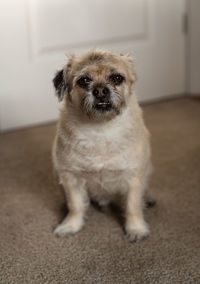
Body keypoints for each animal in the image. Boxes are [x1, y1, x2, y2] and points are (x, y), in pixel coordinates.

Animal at [52, 48, 153, 242]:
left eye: (117, 78)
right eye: (84, 80)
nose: (100, 91)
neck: (100, 129)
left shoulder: (133, 178)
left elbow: (132, 206)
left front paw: (135, 229)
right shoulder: (71, 178)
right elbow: (75, 205)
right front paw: (71, 225)